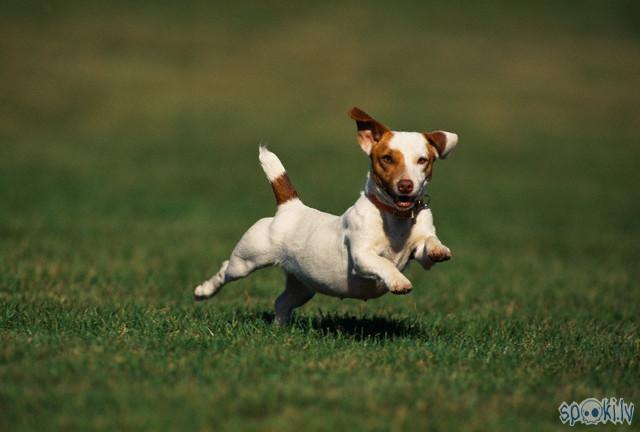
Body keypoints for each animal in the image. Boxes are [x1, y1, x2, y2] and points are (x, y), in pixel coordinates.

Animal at [192, 107, 458, 324]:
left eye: (422, 160)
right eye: (387, 158)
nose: (405, 185)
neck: (396, 217)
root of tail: (290, 206)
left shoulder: (420, 251)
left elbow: (428, 244)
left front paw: (439, 249)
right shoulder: (361, 256)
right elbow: (383, 262)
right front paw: (398, 281)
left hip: (303, 285)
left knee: (282, 302)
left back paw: (280, 328)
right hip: (247, 260)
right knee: (226, 270)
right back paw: (203, 291)